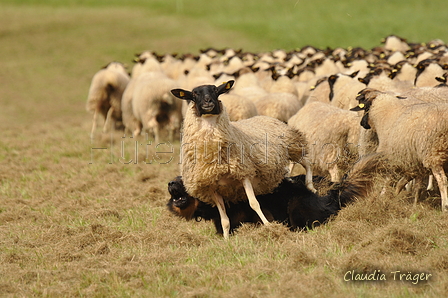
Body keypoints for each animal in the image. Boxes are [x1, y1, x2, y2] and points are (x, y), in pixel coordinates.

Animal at [171, 80, 316, 239]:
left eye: (215, 90)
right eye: (195, 94)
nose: (208, 102)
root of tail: (266, 116)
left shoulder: (244, 174)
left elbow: (254, 203)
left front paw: (268, 226)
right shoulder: (213, 187)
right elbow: (224, 219)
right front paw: (226, 239)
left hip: (293, 145)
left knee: (307, 162)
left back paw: (311, 186)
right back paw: (290, 178)